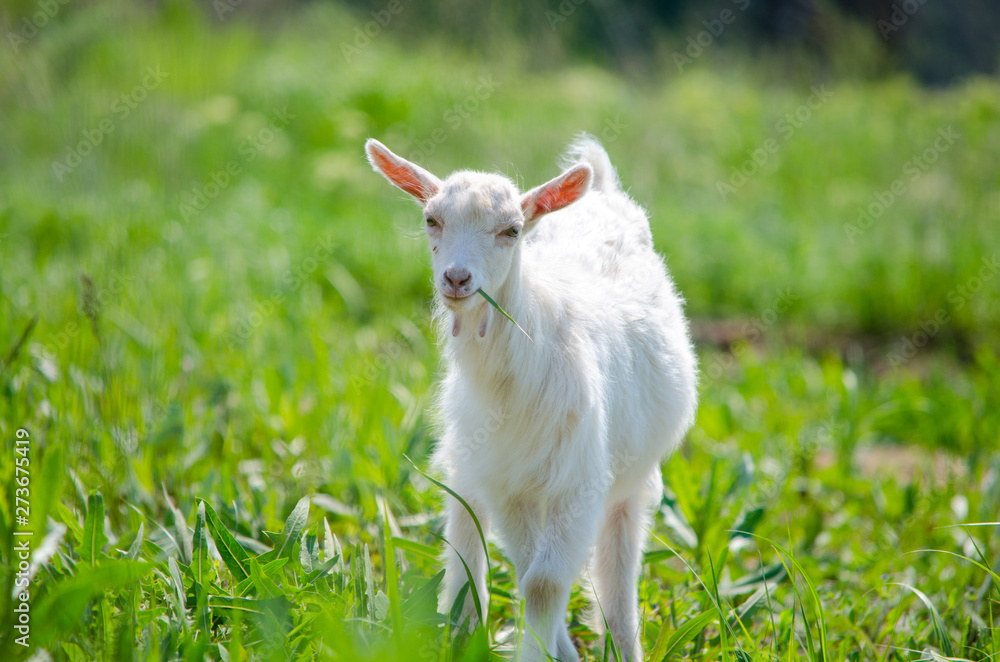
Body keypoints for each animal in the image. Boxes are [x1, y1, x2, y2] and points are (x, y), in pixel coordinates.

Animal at [365, 135, 698, 661]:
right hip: (470, 459)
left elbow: (543, 582)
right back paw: (466, 628)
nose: (456, 279)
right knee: (466, 528)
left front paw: (546, 649)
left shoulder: (576, 479)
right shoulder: (506, 479)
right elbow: (528, 572)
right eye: (431, 219)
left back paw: (623, 644)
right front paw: (552, 650)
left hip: (632, 474)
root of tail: (603, 190)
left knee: (619, 553)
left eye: (511, 230)